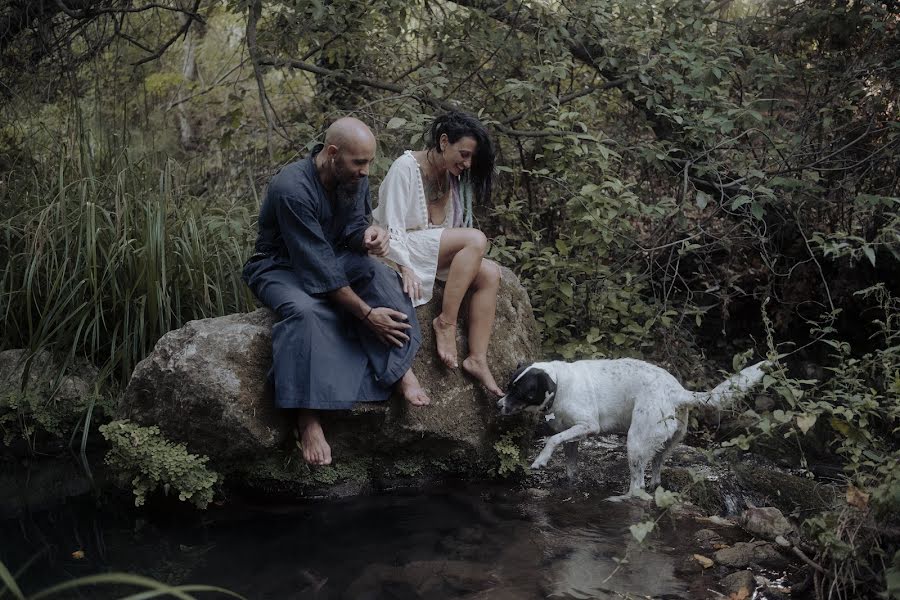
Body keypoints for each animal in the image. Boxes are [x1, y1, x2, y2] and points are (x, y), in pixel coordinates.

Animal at [496, 358, 768, 500]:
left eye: (522, 392)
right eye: (508, 386)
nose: (498, 405)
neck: (560, 384)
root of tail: (677, 392)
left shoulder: (588, 426)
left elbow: (552, 440)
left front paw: (540, 460)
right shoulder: (573, 436)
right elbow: (570, 464)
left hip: (635, 442)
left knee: (637, 485)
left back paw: (619, 499)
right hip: (665, 442)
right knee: (655, 471)